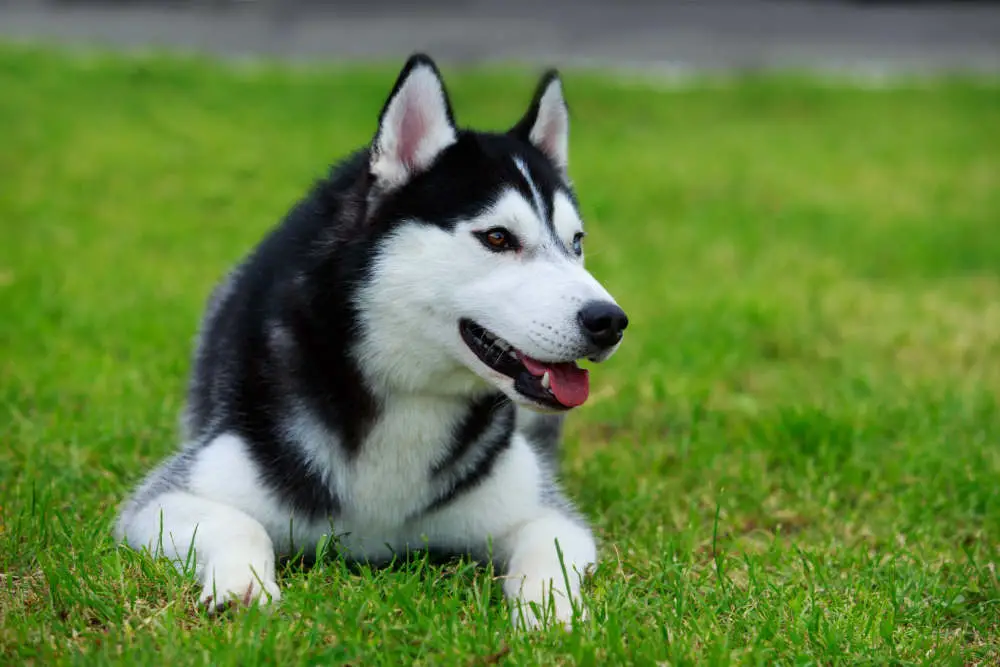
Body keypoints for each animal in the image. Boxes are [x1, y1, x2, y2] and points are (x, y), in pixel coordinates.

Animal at [115, 53, 624, 632]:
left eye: (577, 243)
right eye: (498, 238)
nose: (609, 321)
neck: (410, 396)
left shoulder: (544, 511)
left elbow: (549, 549)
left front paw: (550, 611)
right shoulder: (167, 497)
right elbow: (238, 524)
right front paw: (242, 588)